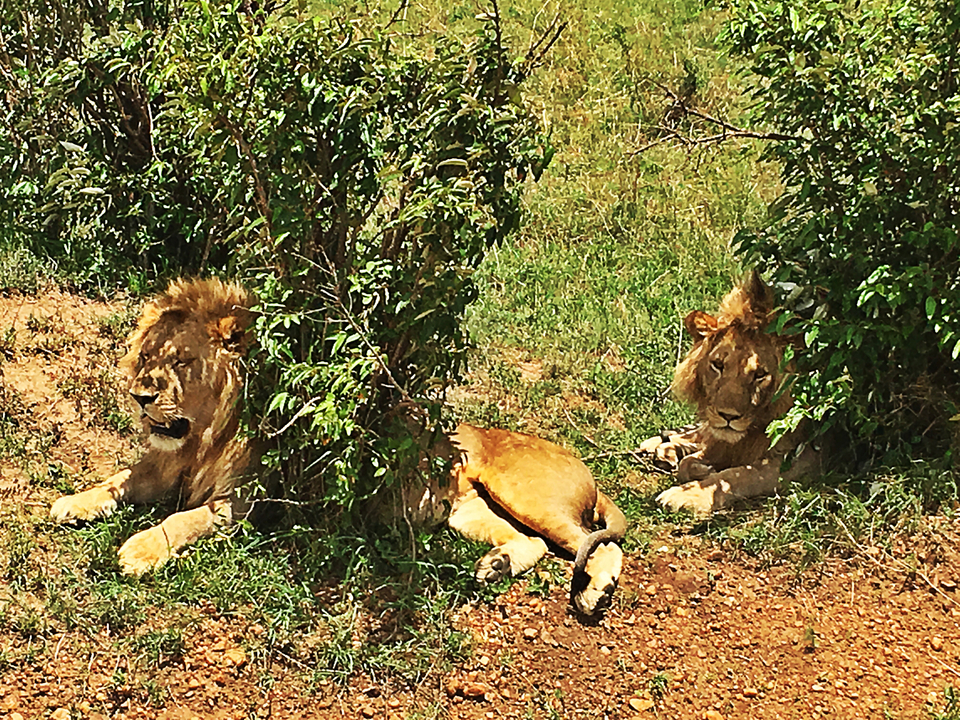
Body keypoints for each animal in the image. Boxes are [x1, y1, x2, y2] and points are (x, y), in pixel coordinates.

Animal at [50, 278, 257, 576]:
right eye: (146, 356)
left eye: (181, 361)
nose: (139, 398)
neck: (204, 439)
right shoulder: (163, 466)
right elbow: (120, 479)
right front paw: (76, 501)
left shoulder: (243, 497)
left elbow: (183, 518)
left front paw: (141, 549)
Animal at [640, 271, 817, 515]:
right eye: (718, 365)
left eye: (760, 374)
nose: (728, 416)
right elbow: (694, 458)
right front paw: (700, 466)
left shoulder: (807, 455)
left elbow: (741, 475)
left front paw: (689, 492)